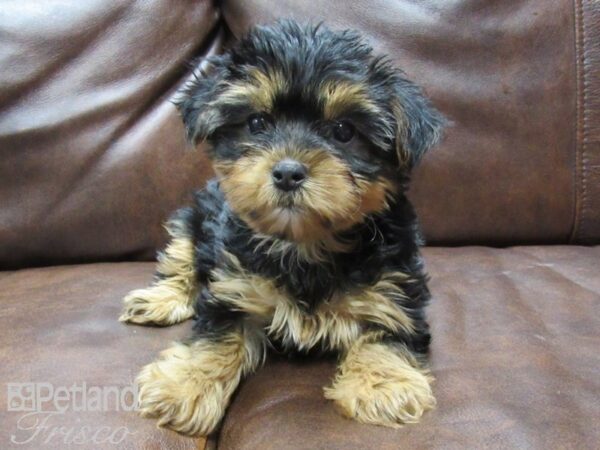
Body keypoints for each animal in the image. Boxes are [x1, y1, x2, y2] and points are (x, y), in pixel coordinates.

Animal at [118, 20, 446, 436]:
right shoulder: (233, 286)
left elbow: (388, 334)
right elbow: (217, 335)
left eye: (344, 131)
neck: (304, 243)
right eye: (257, 123)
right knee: (182, 260)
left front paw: (382, 387)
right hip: (194, 217)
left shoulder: (393, 290)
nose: (288, 172)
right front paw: (184, 386)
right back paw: (157, 300)